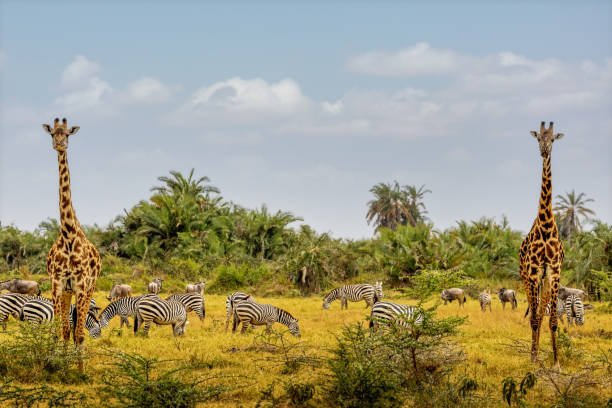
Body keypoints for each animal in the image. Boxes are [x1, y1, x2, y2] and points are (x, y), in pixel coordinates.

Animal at [41, 117, 100, 344]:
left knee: (78, 332)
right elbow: (61, 332)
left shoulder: (82, 286)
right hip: (68, 292)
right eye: (52, 133)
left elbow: (80, 335)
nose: (60, 144)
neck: (68, 234)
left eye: (66, 134)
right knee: (68, 330)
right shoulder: (57, 285)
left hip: (90, 288)